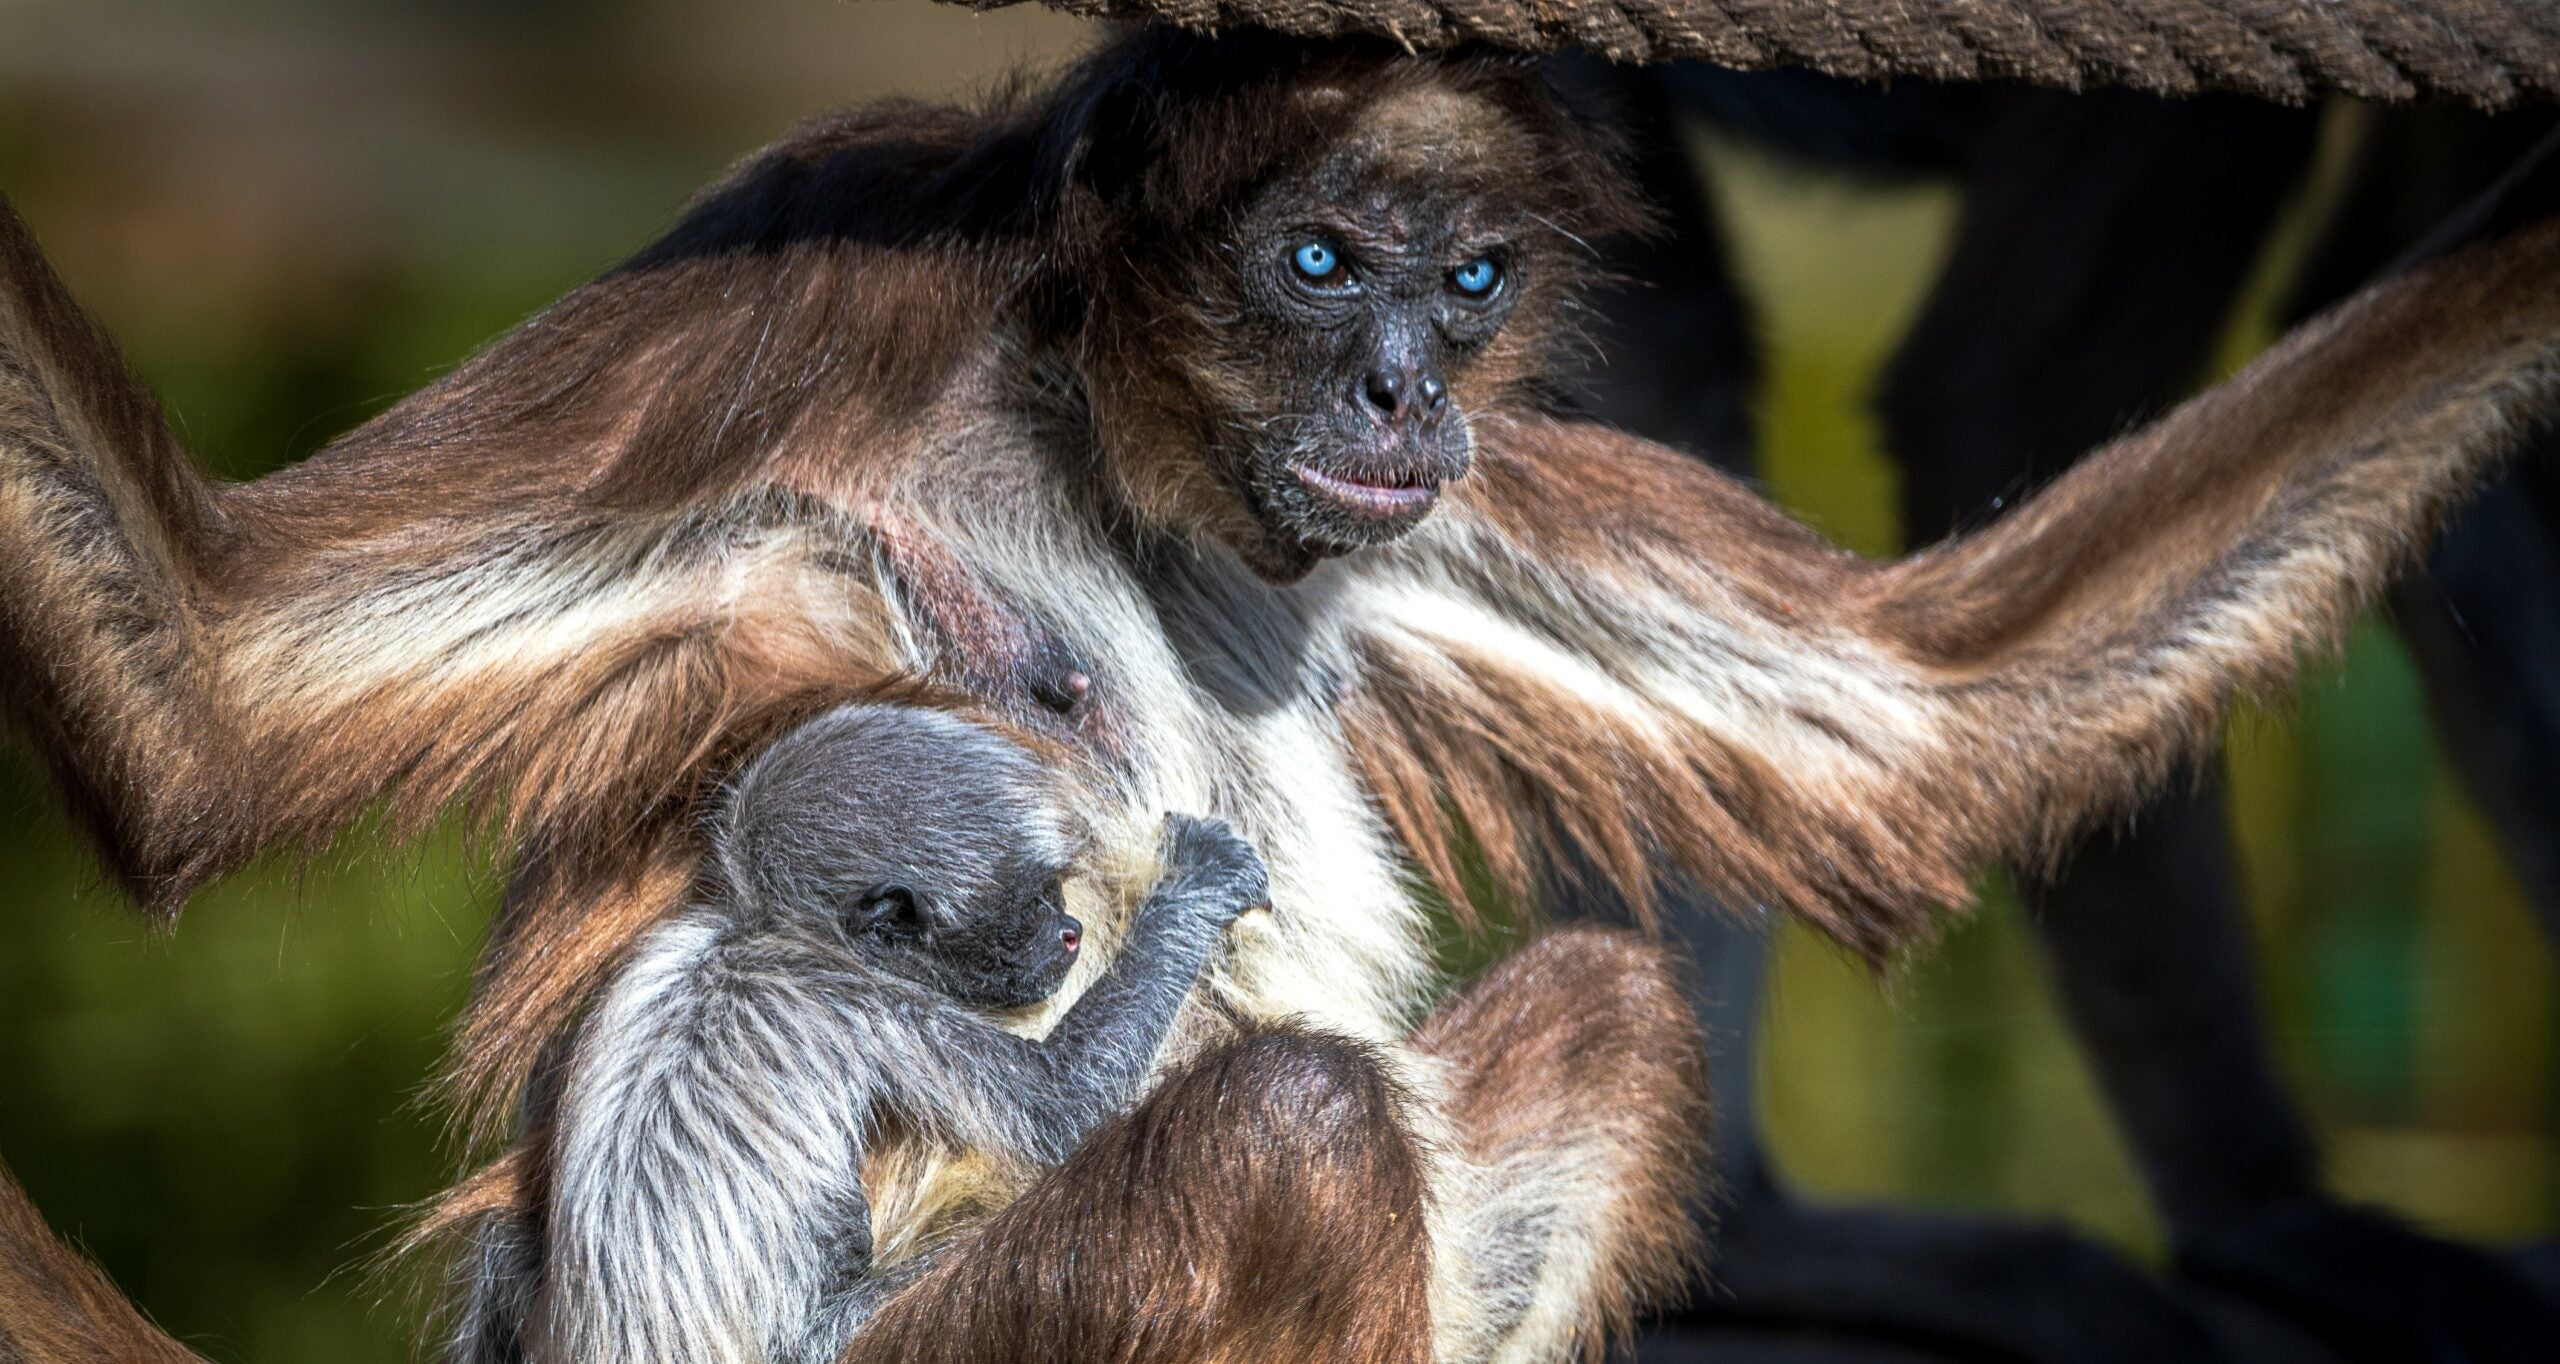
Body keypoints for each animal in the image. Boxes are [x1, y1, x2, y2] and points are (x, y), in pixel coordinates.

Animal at [0, 23, 2560, 1361]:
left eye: (1461, 280)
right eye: (1315, 262)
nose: (1407, 385)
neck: (1103, 451)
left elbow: (1922, 719)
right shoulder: (795, 323)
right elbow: (211, 673)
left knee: (1583, 1025)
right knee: (1300, 1126)